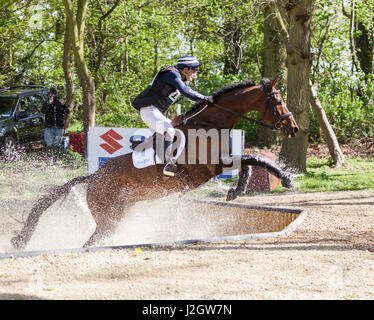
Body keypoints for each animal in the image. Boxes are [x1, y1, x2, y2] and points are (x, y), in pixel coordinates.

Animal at [10, 77, 298, 250]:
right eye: (278, 100)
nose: (293, 128)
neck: (210, 123)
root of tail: (92, 177)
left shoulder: (221, 163)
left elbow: (249, 163)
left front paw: (235, 191)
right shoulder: (212, 166)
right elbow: (254, 159)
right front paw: (286, 178)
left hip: (119, 214)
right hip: (107, 217)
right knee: (90, 242)